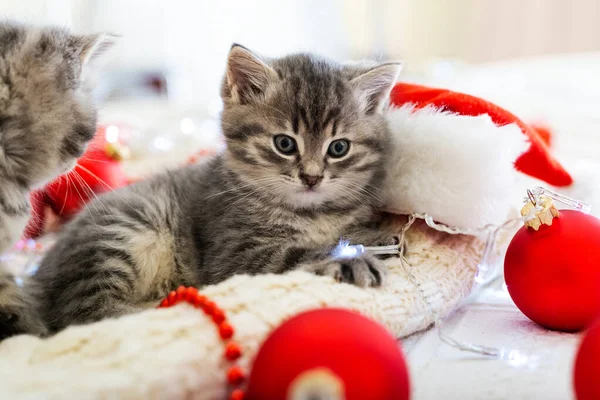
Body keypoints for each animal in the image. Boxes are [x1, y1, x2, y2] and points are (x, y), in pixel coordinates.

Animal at [5, 44, 404, 338]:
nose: (311, 178)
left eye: (339, 148)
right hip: (121, 231)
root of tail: (38, 277)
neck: (309, 211)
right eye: (284, 144)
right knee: (86, 315)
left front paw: (373, 235)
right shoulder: (234, 255)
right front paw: (348, 258)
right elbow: (297, 254)